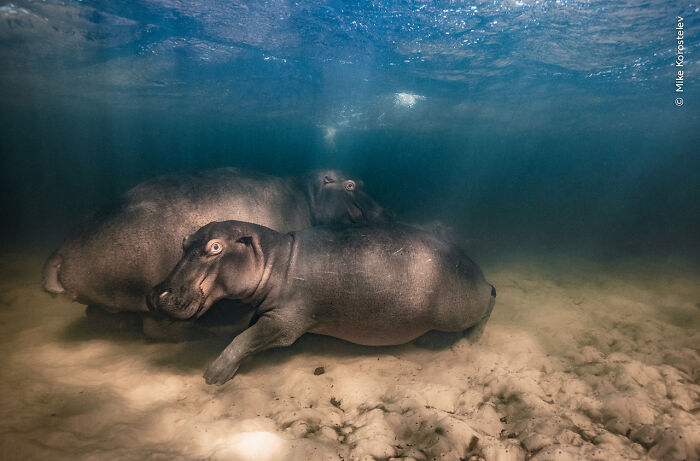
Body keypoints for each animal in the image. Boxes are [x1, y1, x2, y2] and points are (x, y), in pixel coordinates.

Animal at [148, 220, 496, 385]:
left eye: (216, 247)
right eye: (183, 242)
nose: (156, 294)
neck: (275, 259)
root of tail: (477, 270)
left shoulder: (285, 322)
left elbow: (244, 339)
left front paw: (213, 375)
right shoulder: (266, 311)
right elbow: (247, 331)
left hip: (459, 310)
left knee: (489, 301)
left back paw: (465, 339)